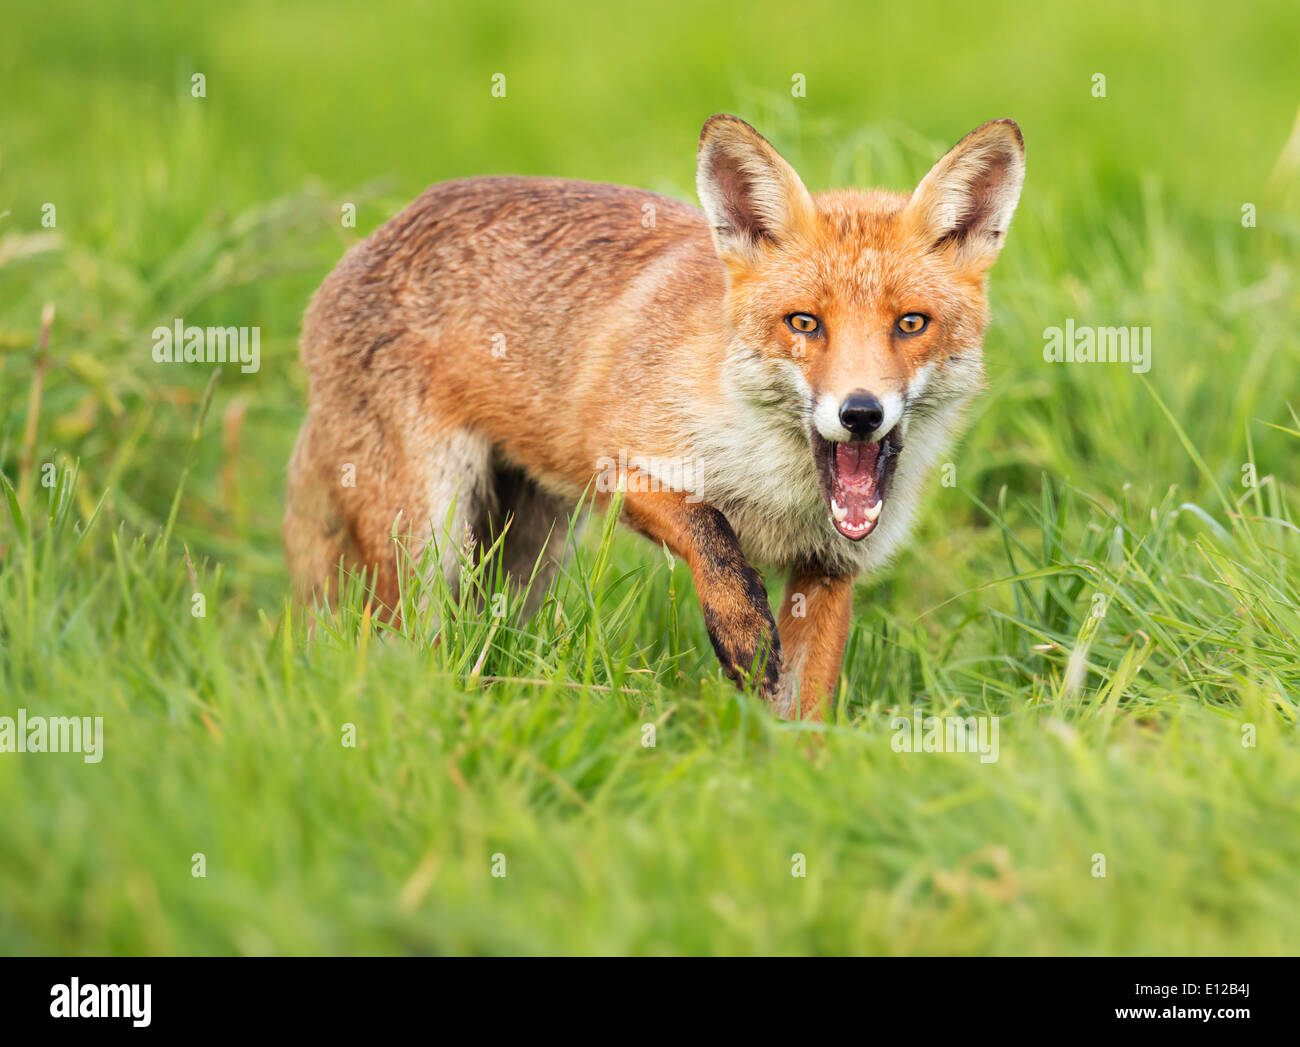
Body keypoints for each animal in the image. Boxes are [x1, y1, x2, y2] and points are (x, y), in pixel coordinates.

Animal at [284, 114, 1025, 719]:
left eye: (910, 323)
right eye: (805, 323)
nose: (861, 413)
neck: (777, 490)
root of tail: (370, 241)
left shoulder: (828, 567)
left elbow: (803, 714)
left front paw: (790, 785)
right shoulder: (612, 461)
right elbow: (708, 526)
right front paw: (740, 631)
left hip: (524, 554)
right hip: (427, 544)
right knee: (405, 647)